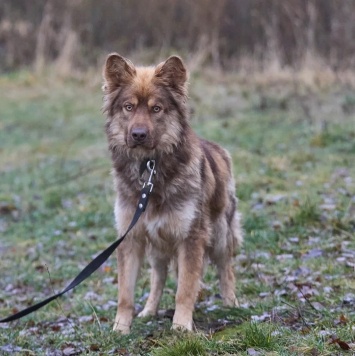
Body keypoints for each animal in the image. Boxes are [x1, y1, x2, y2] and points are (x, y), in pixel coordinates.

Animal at [101, 53, 243, 334]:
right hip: (157, 243)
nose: (138, 135)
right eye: (128, 107)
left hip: (221, 233)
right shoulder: (131, 237)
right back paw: (149, 311)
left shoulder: (191, 237)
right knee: (159, 276)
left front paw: (181, 326)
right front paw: (120, 328)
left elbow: (185, 289)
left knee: (225, 268)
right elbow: (125, 293)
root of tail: (218, 148)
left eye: (156, 109)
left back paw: (231, 303)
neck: (150, 169)